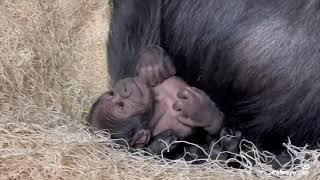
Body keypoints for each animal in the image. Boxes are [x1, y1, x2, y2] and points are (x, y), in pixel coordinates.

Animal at [89, 46, 241, 159]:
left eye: (112, 94)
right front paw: (199, 112)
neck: (157, 104)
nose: (123, 89)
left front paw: (151, 59)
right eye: (121, 106)